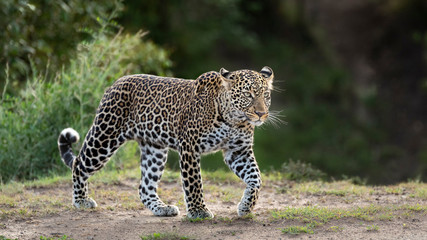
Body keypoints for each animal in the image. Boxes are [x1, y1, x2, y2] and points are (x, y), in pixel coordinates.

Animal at [58, 66, 274, 219]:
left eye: (266, 95)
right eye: (248, 95)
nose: (261, 113)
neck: (234, 120)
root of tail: (115, 83)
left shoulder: (238, 151)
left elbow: (256, 178)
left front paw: (246, 206)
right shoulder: (190, 147)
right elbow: (194, 183)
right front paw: (198, 212)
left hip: (155, 149)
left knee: (145, 186)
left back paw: (162, 208)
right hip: (105, 137)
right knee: (79, 164)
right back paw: (81, 201)